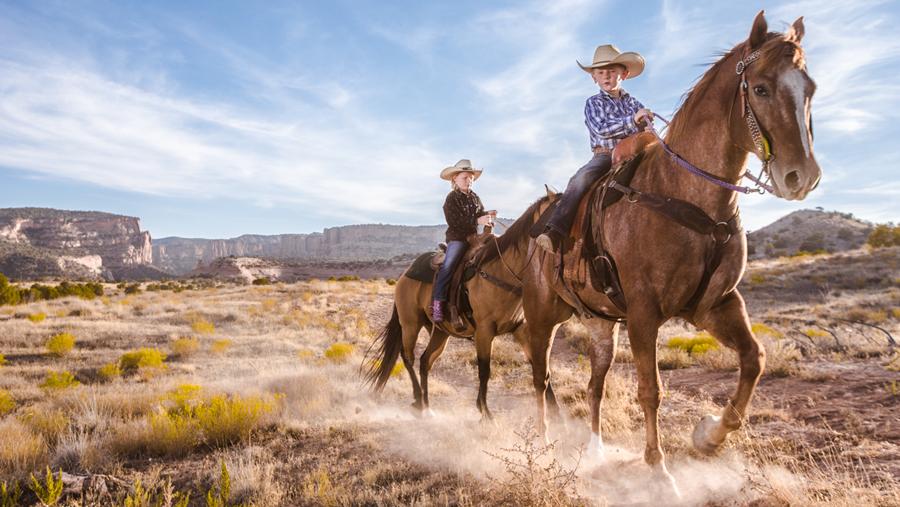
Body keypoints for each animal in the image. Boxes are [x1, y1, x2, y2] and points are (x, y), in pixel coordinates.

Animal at [510, 10, 820, 496]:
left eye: (810, 88)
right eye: (760, 88)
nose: (801, 176)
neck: (686, 196)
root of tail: (536, 225)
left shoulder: (715, 305)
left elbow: (754, 359)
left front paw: (709, 436)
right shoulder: (644, 312)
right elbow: (650, 390)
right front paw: (660, 471)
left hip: (600, 324)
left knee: (594, 385)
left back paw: (595, 452)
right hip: (543, 317)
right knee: (540, 380)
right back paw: (543, 448)